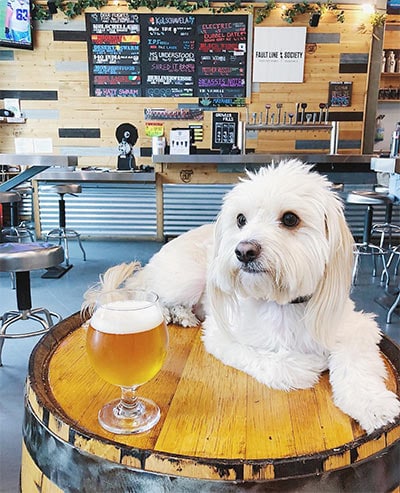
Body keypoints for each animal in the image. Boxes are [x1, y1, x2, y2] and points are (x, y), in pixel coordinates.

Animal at [83, 160, 398, 432]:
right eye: (241, 219)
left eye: (290, 219)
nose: (244, 250)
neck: (281, 304)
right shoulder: (221, 335)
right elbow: (265, 359)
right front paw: (303, 366)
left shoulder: (357, 327)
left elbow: (358, 367)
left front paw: (374, 404)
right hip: (187, 278)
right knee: (156, 298)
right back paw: (176, 313)